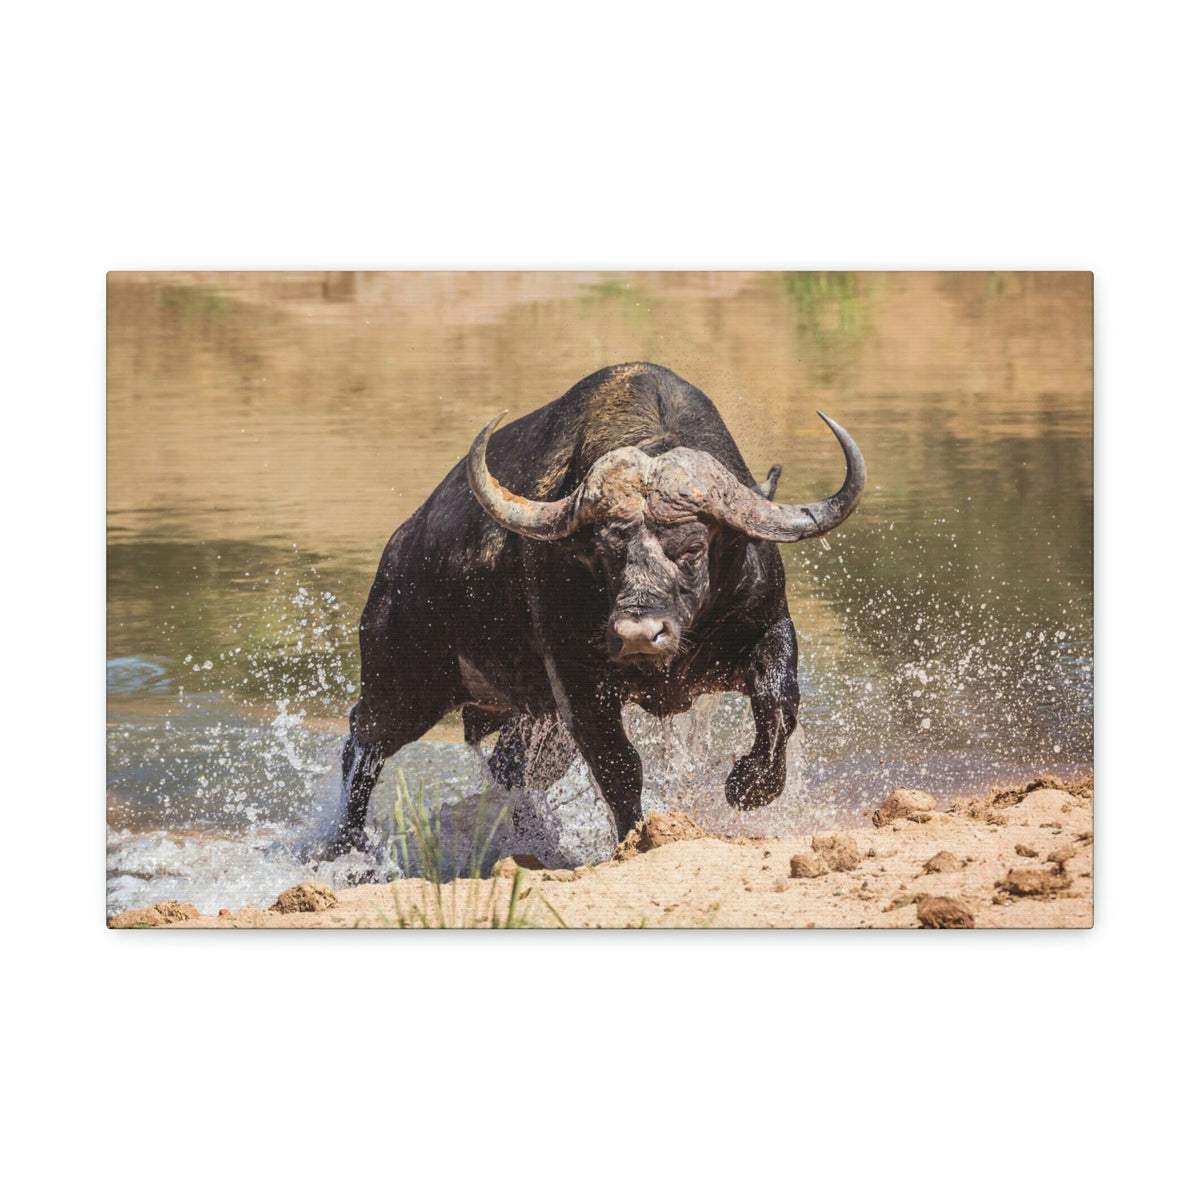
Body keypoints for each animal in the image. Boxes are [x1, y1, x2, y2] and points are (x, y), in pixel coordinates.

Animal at [331, 362, 864, 854]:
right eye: (604, 553)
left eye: (692, 548)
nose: (638, 635)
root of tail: (400, 548)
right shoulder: (576, 679)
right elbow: (618, 764)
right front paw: (637, 838)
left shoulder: (767, 626)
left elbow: (778, 704)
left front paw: (749, 786)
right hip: (404, 684)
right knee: (363, 744)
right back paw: (345, 848)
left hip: (527, 718)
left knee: (511, 769)